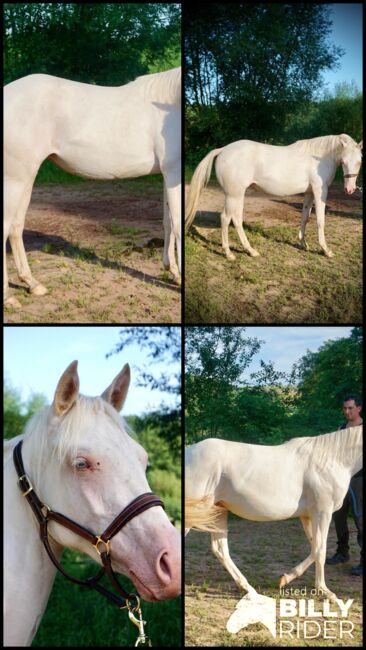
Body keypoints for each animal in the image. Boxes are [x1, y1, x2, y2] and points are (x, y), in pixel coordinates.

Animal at [2, 68, 180, 306]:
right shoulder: (173, 171)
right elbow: (178, 223)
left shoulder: (168, 174)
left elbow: (168, 222)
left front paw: (173, 272)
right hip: (15, 178)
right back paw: (8, 297)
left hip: (25, 177)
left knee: (16, 226)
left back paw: (33, 284)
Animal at [186, 134, 364, 258]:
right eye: (344, 161)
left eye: (359, 161)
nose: (350, 189)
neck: (319, 158)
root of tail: (223, 149)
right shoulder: (320, 191)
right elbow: (320, 220)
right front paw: (326, 250)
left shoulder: (309, 193)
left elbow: (305, 217)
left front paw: (303, 244)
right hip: (233, 195)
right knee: (225, 218)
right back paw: (229, 253)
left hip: (237, 196)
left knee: (236, 219)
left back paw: (250, 250)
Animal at [186, 428, 364, 600]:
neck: (331, 460)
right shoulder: (322, 512)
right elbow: (320, 549)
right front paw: (325, 591)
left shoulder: (308, 516)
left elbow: (314, 548)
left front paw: (285, 579)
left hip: (219, 511)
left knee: (220, 550)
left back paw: (248, 589)